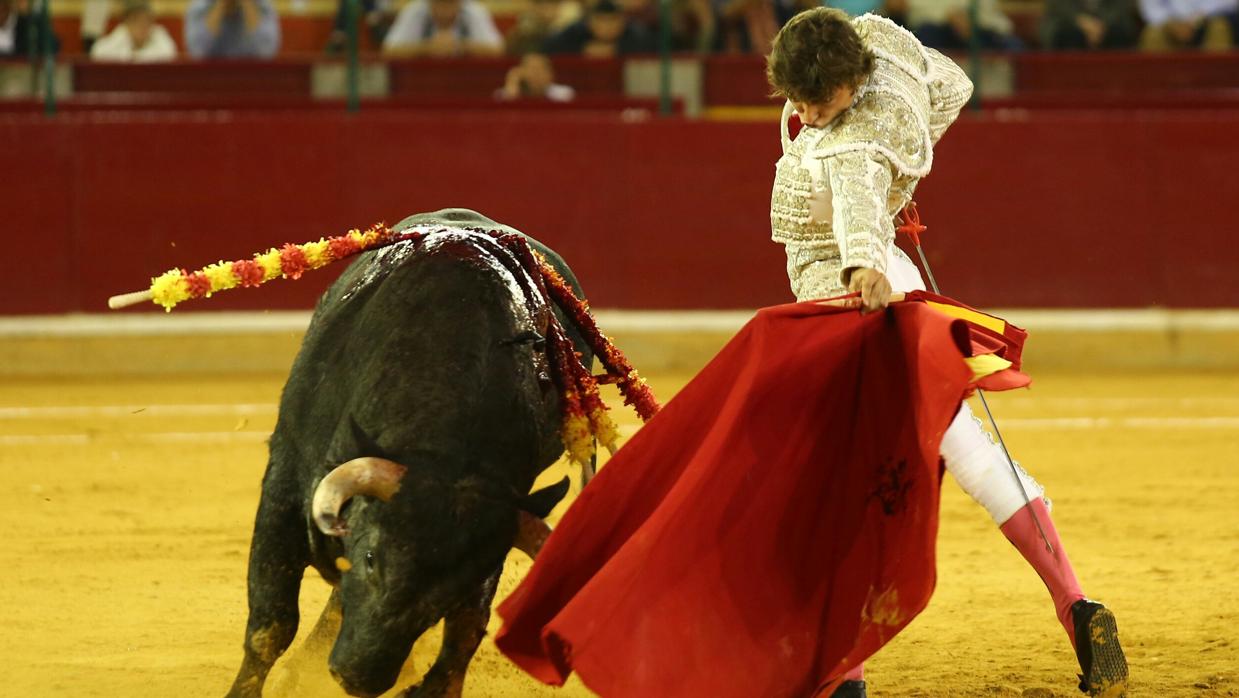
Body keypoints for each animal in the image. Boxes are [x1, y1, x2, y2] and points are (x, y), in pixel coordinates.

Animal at [229, 209, 594, 698]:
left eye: (447, 596)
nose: (359, 676)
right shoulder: (284, 486)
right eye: (370, 559)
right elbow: (271, 625)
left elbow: (467, 628)